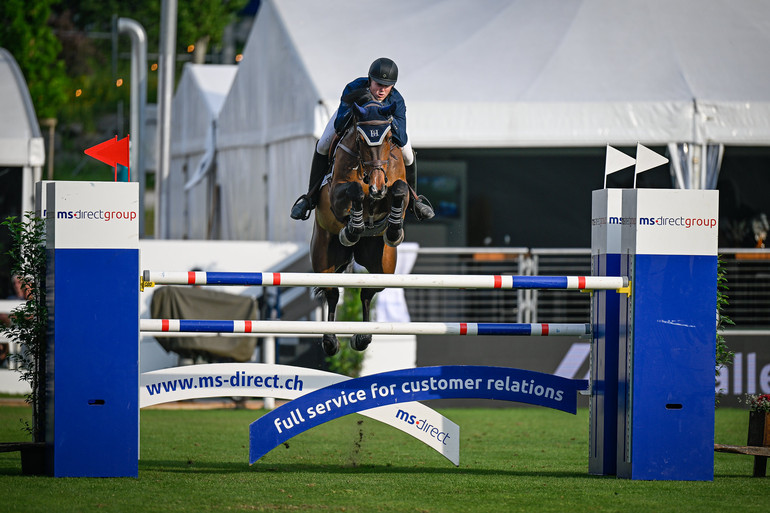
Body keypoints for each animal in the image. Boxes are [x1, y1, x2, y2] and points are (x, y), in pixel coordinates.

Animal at [308, 100, 412, 356]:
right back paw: (331, 341)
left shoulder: (397, 189)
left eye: (389, 138)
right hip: (324, 258)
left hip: (383, 265)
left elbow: (400, 189)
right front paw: (352, 228)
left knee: (368, 291)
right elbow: (354, 190)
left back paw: (362, 337)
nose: (376, 187)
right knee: (332, 293)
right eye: (361, 139)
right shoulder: (335, 196)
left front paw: (394, 230)